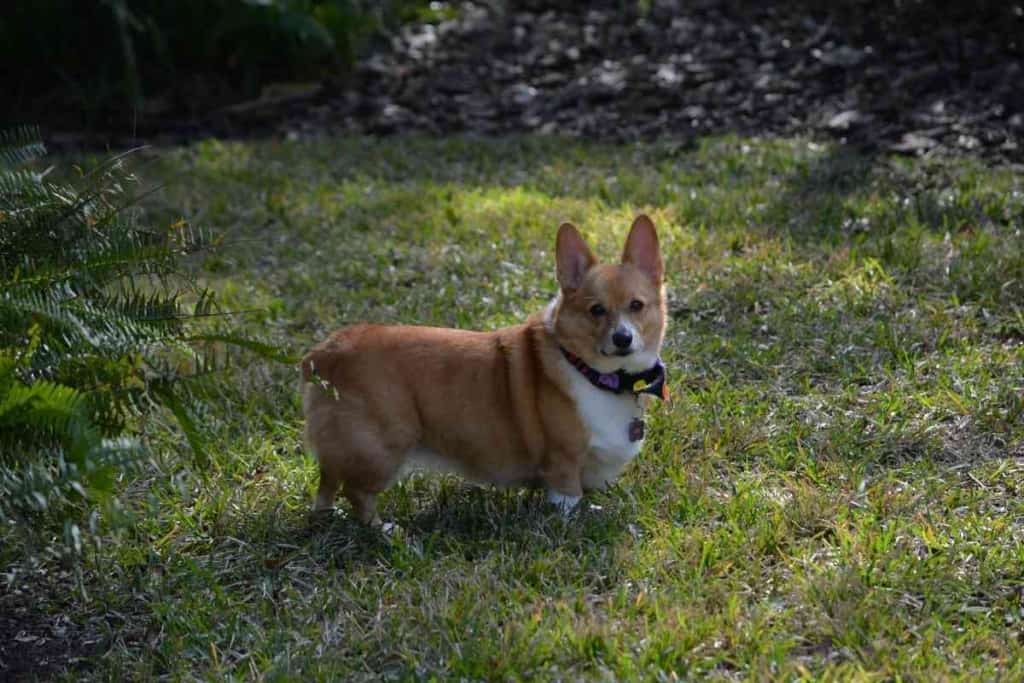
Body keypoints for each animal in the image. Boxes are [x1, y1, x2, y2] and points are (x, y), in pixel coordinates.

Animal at [299, 216, 667, 528]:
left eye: (637, 305)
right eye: (596, 310)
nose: (623, 339)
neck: (594, 373)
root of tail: (324, 353)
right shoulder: (562, 463)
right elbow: (568, 499)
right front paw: (572, 525)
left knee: (328, 481)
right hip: (384, 446)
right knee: (356, 492)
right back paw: (385, 530)